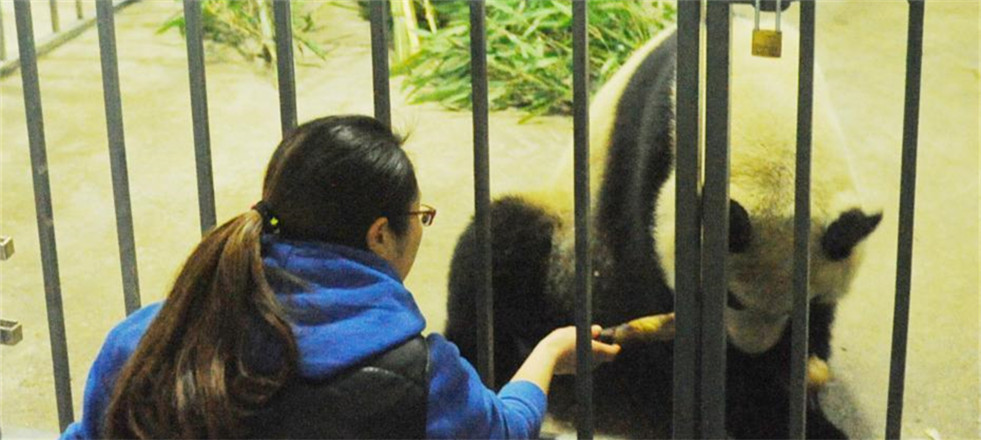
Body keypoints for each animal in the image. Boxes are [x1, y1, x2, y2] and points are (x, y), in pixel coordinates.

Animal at [444, 10, 880, 440]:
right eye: (731, 298)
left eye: (799, 304)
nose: (751, 348)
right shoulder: (654, 146)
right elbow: (653, 273)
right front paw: (746, 397)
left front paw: (787, 396)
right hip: (564, 246)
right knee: (499, 244)